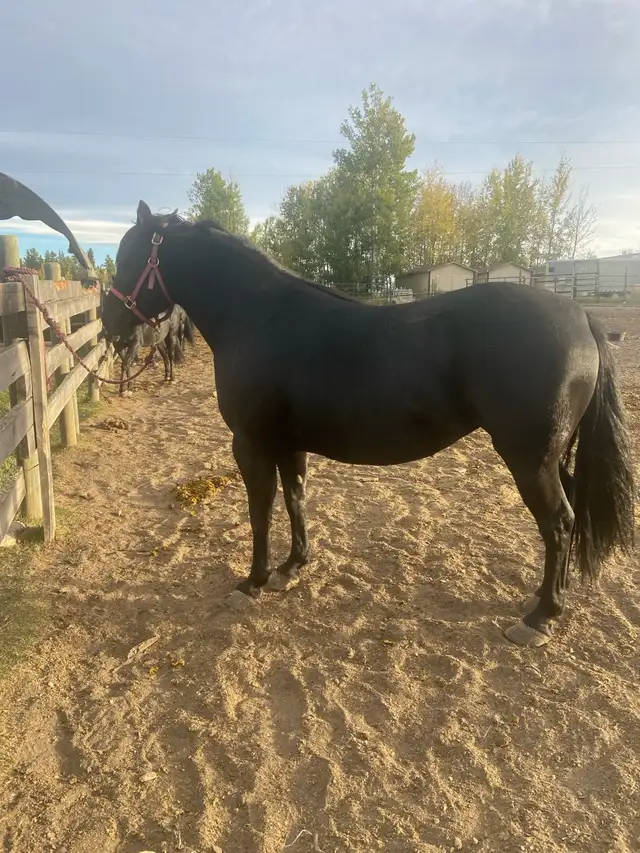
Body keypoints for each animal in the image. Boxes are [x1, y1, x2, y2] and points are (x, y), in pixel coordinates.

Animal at [102, 201, 635, 648]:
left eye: (128, 258)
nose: (110, 324)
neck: (259, 318)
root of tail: (581, 317)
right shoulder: (288, 444)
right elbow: (295, 499)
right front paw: (292, 567)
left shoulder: (251, 445)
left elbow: (260, 513)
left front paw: (252, 581)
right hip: (552, 455)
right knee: (568, 517)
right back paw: (547, 600)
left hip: (530, 459)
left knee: (559, 522)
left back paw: (540, 618)